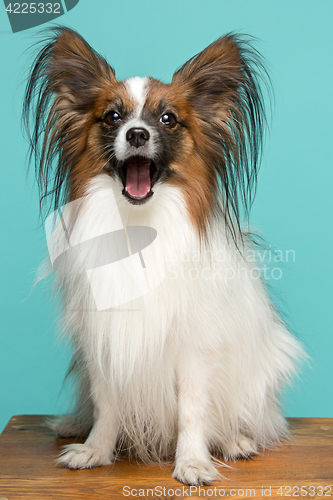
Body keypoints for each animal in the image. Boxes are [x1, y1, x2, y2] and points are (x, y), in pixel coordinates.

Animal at [23, 26, 302, 484]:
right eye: (112, 117)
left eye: (167, 119)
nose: (137, 134)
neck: (139, 225)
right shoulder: (104, 339)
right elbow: (106, 403)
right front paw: (96, 450)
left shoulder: (195, 347)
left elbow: (192, 409)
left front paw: (192, 462)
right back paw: (72, 425)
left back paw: (235, 441)